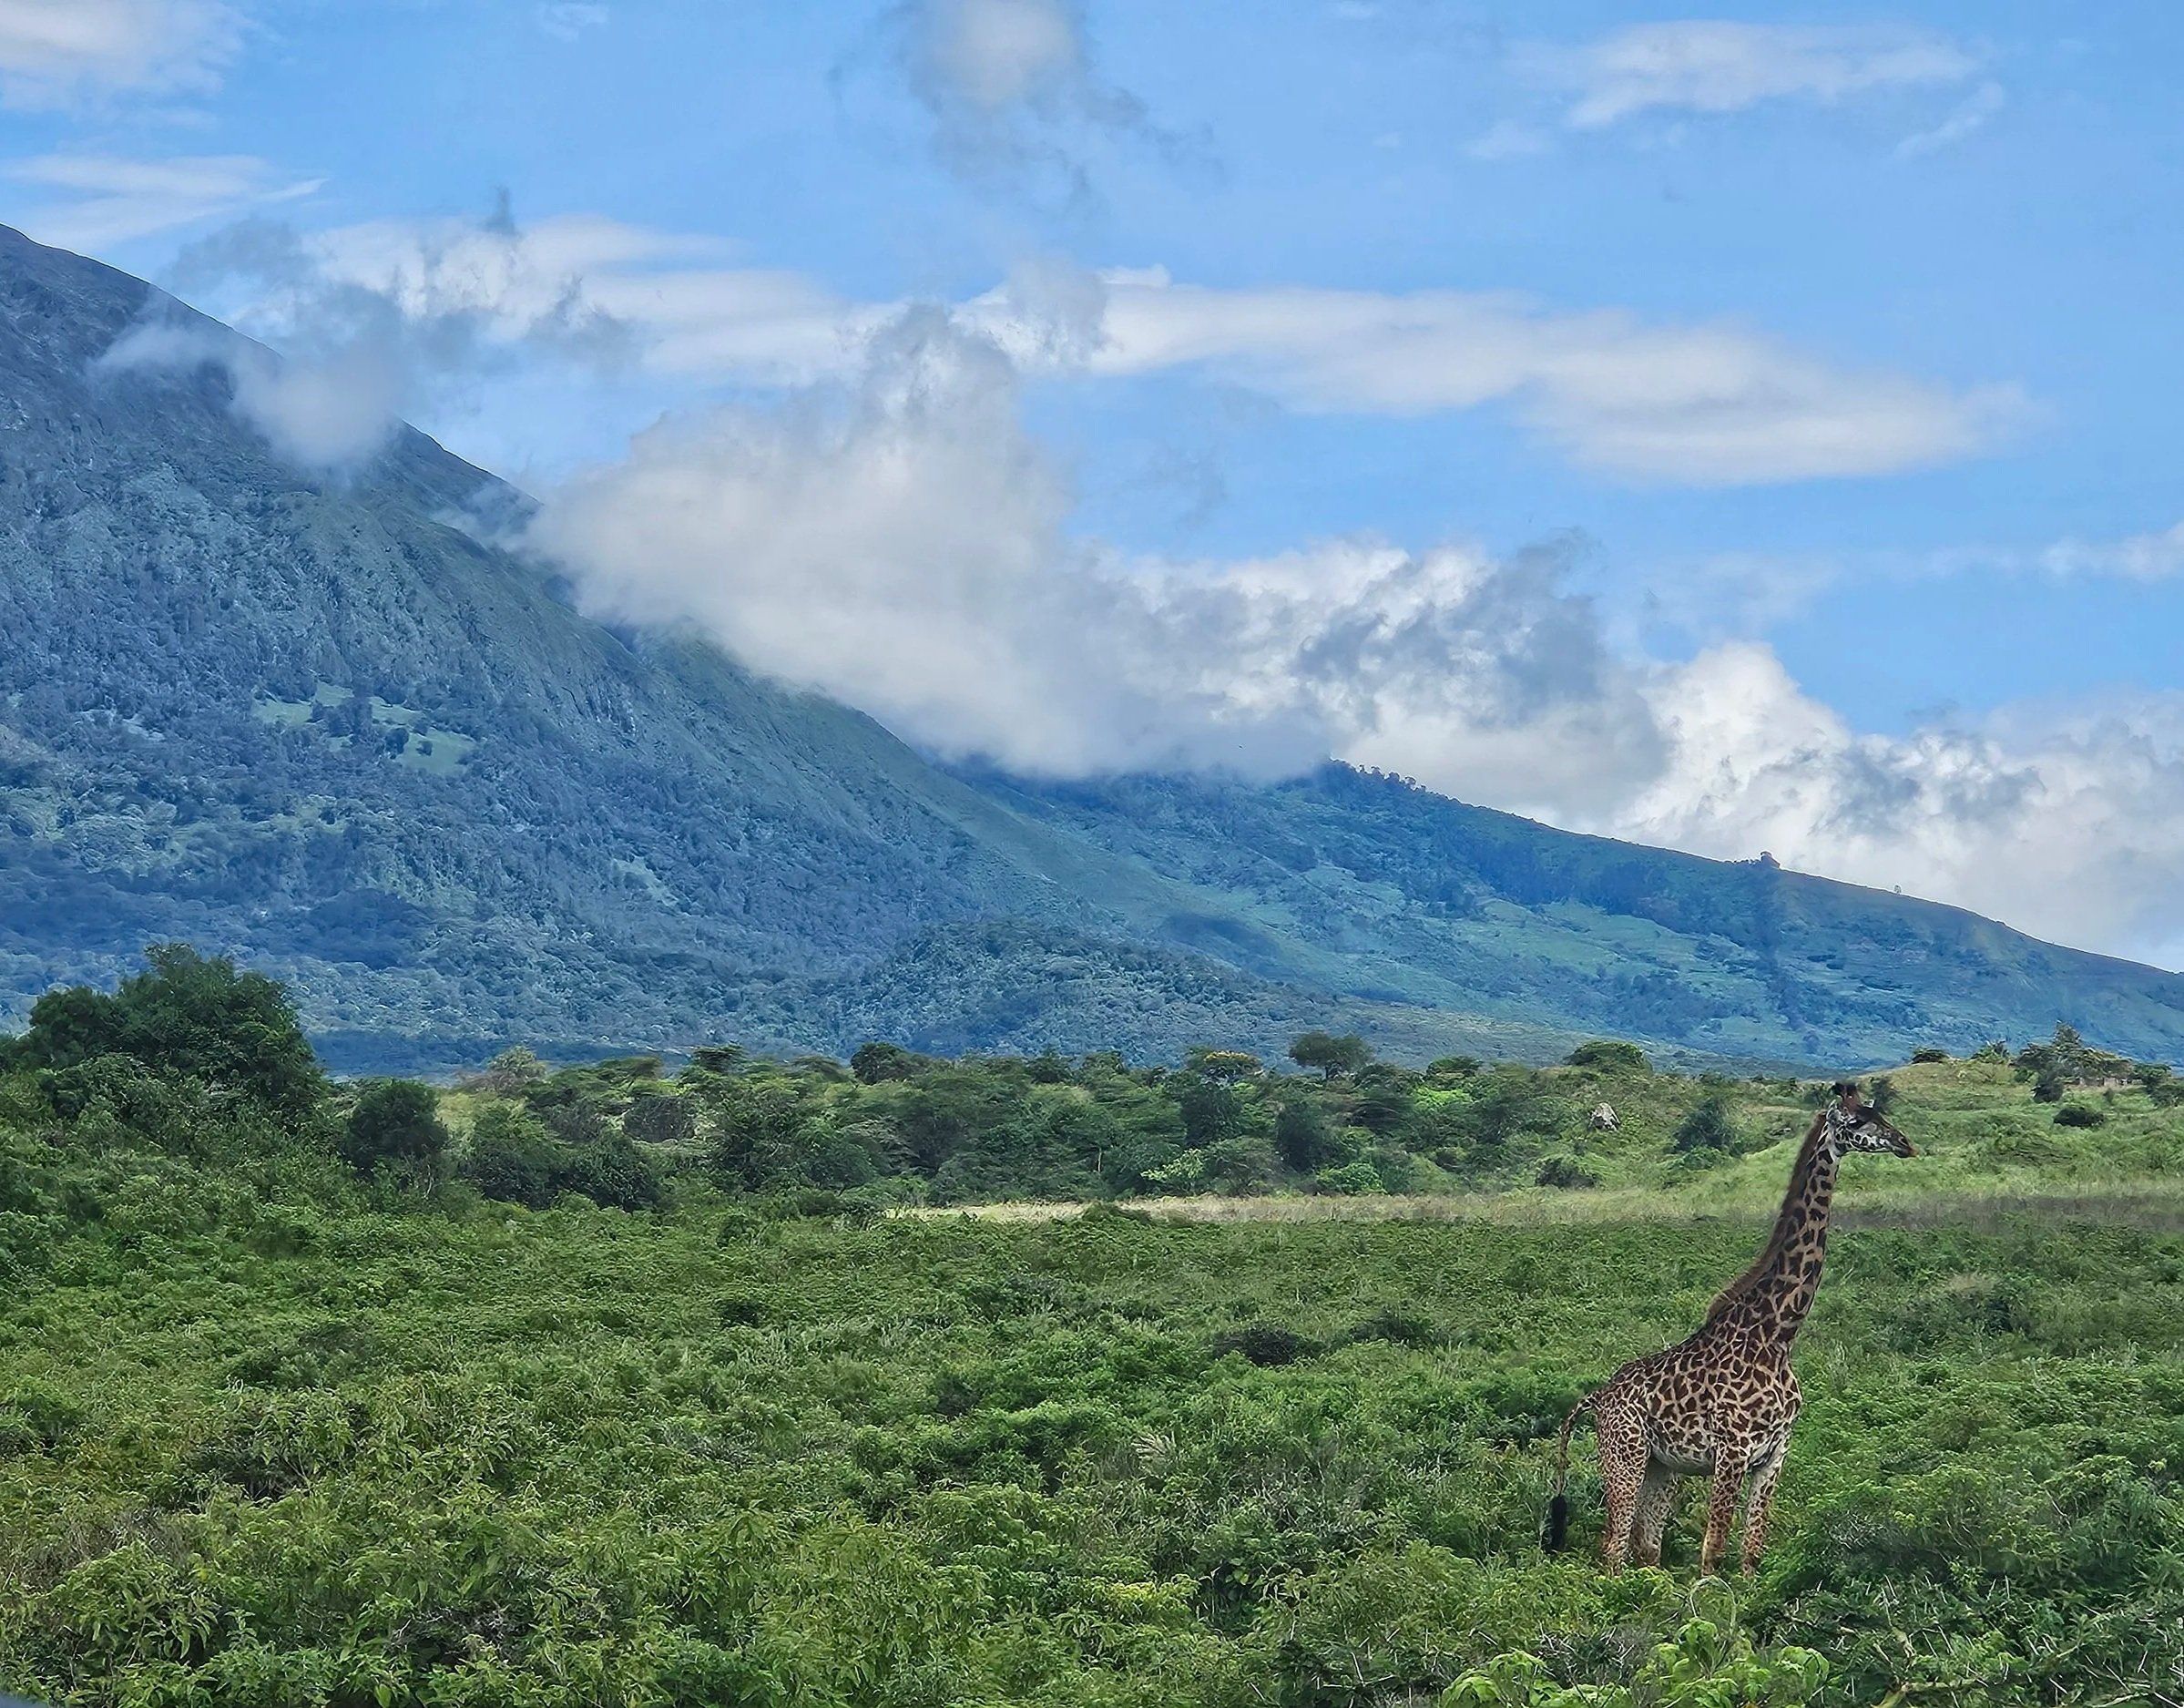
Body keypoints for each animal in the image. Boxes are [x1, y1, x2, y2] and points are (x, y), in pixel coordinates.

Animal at [1544, 1082, 1915, 1576]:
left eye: (1880, 1114)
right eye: (1856, 1122)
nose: (1905, 1143)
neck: (1777, 1334)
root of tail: (1598, 1397)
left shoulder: (1775, 1453)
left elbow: (1751, 1550)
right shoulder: (1733, 1450)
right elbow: (1713, 1549)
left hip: (1663, 1468)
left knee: (1646, 1546)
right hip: (1625, 1455)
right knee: (1613, 1547)